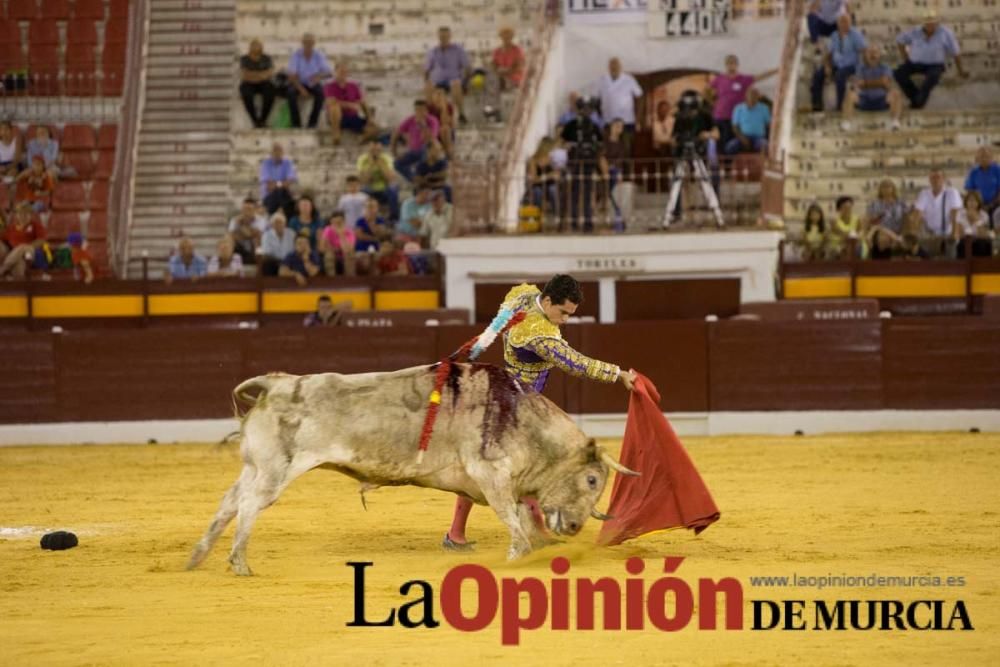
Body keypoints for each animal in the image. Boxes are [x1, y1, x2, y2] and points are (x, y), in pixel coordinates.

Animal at [187, 362, 636, 576]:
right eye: (592, 479)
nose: (575, 527)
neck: (523, 418)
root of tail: (277, 382)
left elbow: (526, 520)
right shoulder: (492, 475)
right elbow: (517, 526)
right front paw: (517, 560)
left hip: (254, 466)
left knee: (228, 503)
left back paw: (197, 557)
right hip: (274, 471)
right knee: (248, 506)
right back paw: (239, 562)